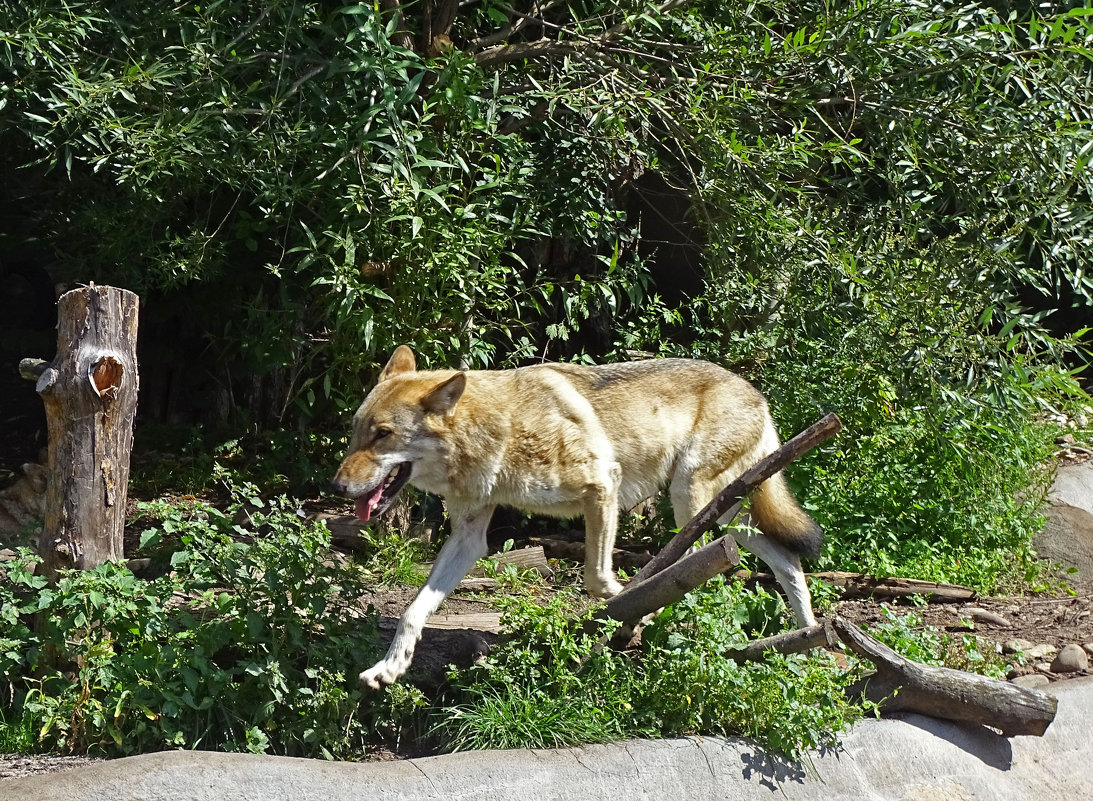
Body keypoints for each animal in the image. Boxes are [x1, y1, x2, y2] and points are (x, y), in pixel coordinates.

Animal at [332, 343, 821, 686]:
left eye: (382, 434)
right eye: (355, 431)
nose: (335, 487)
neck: (501, 428)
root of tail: (757, 393)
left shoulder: (603, 485)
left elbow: (597, 579)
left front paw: (627, 603)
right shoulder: (470, 538)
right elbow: (413, 610)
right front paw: (389, 668)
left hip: (692, 501)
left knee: (701, 564)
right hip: (724, 514)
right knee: (786, 560)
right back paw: (809, 639)